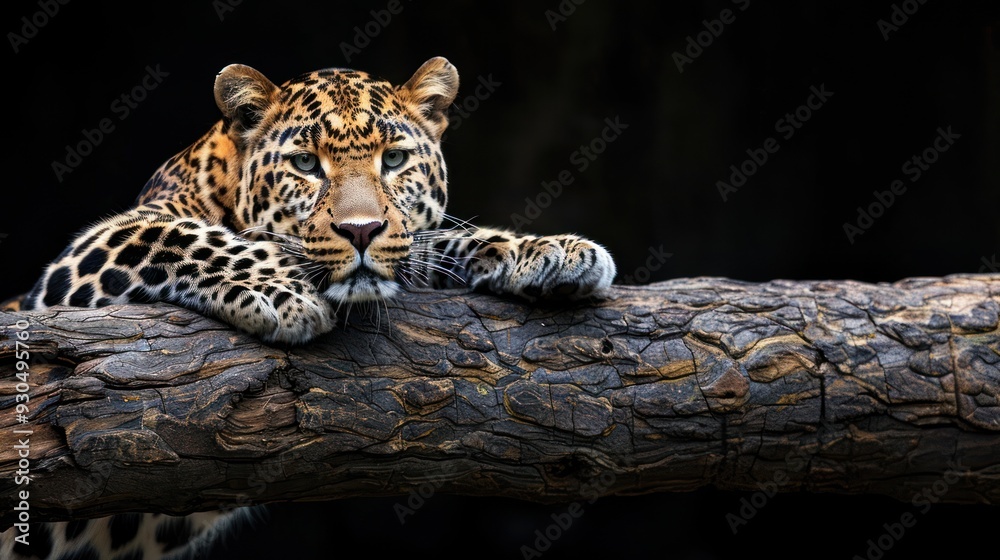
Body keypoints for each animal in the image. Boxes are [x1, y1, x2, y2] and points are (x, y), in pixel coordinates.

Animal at [1, 57, 616, 559]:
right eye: (305, 164)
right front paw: (281, 288)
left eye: (394, 159)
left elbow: (439, 241)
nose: (361, 230)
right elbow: (182, 235)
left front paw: (553, 252)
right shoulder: (70, 275)